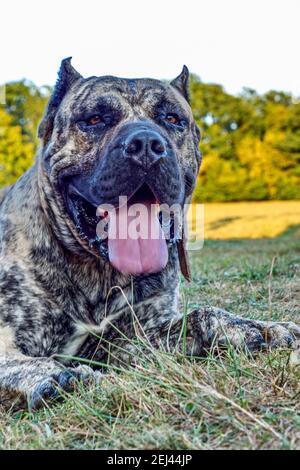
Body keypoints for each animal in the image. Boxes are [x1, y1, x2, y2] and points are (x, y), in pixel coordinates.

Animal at [0, 58, 298, 410]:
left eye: (172, 119)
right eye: (94, 119)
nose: (145, 144)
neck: (97, 272)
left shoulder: (132, 336)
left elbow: (202, 315)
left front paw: (262, 328)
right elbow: (13, 363)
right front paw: (57, 375)